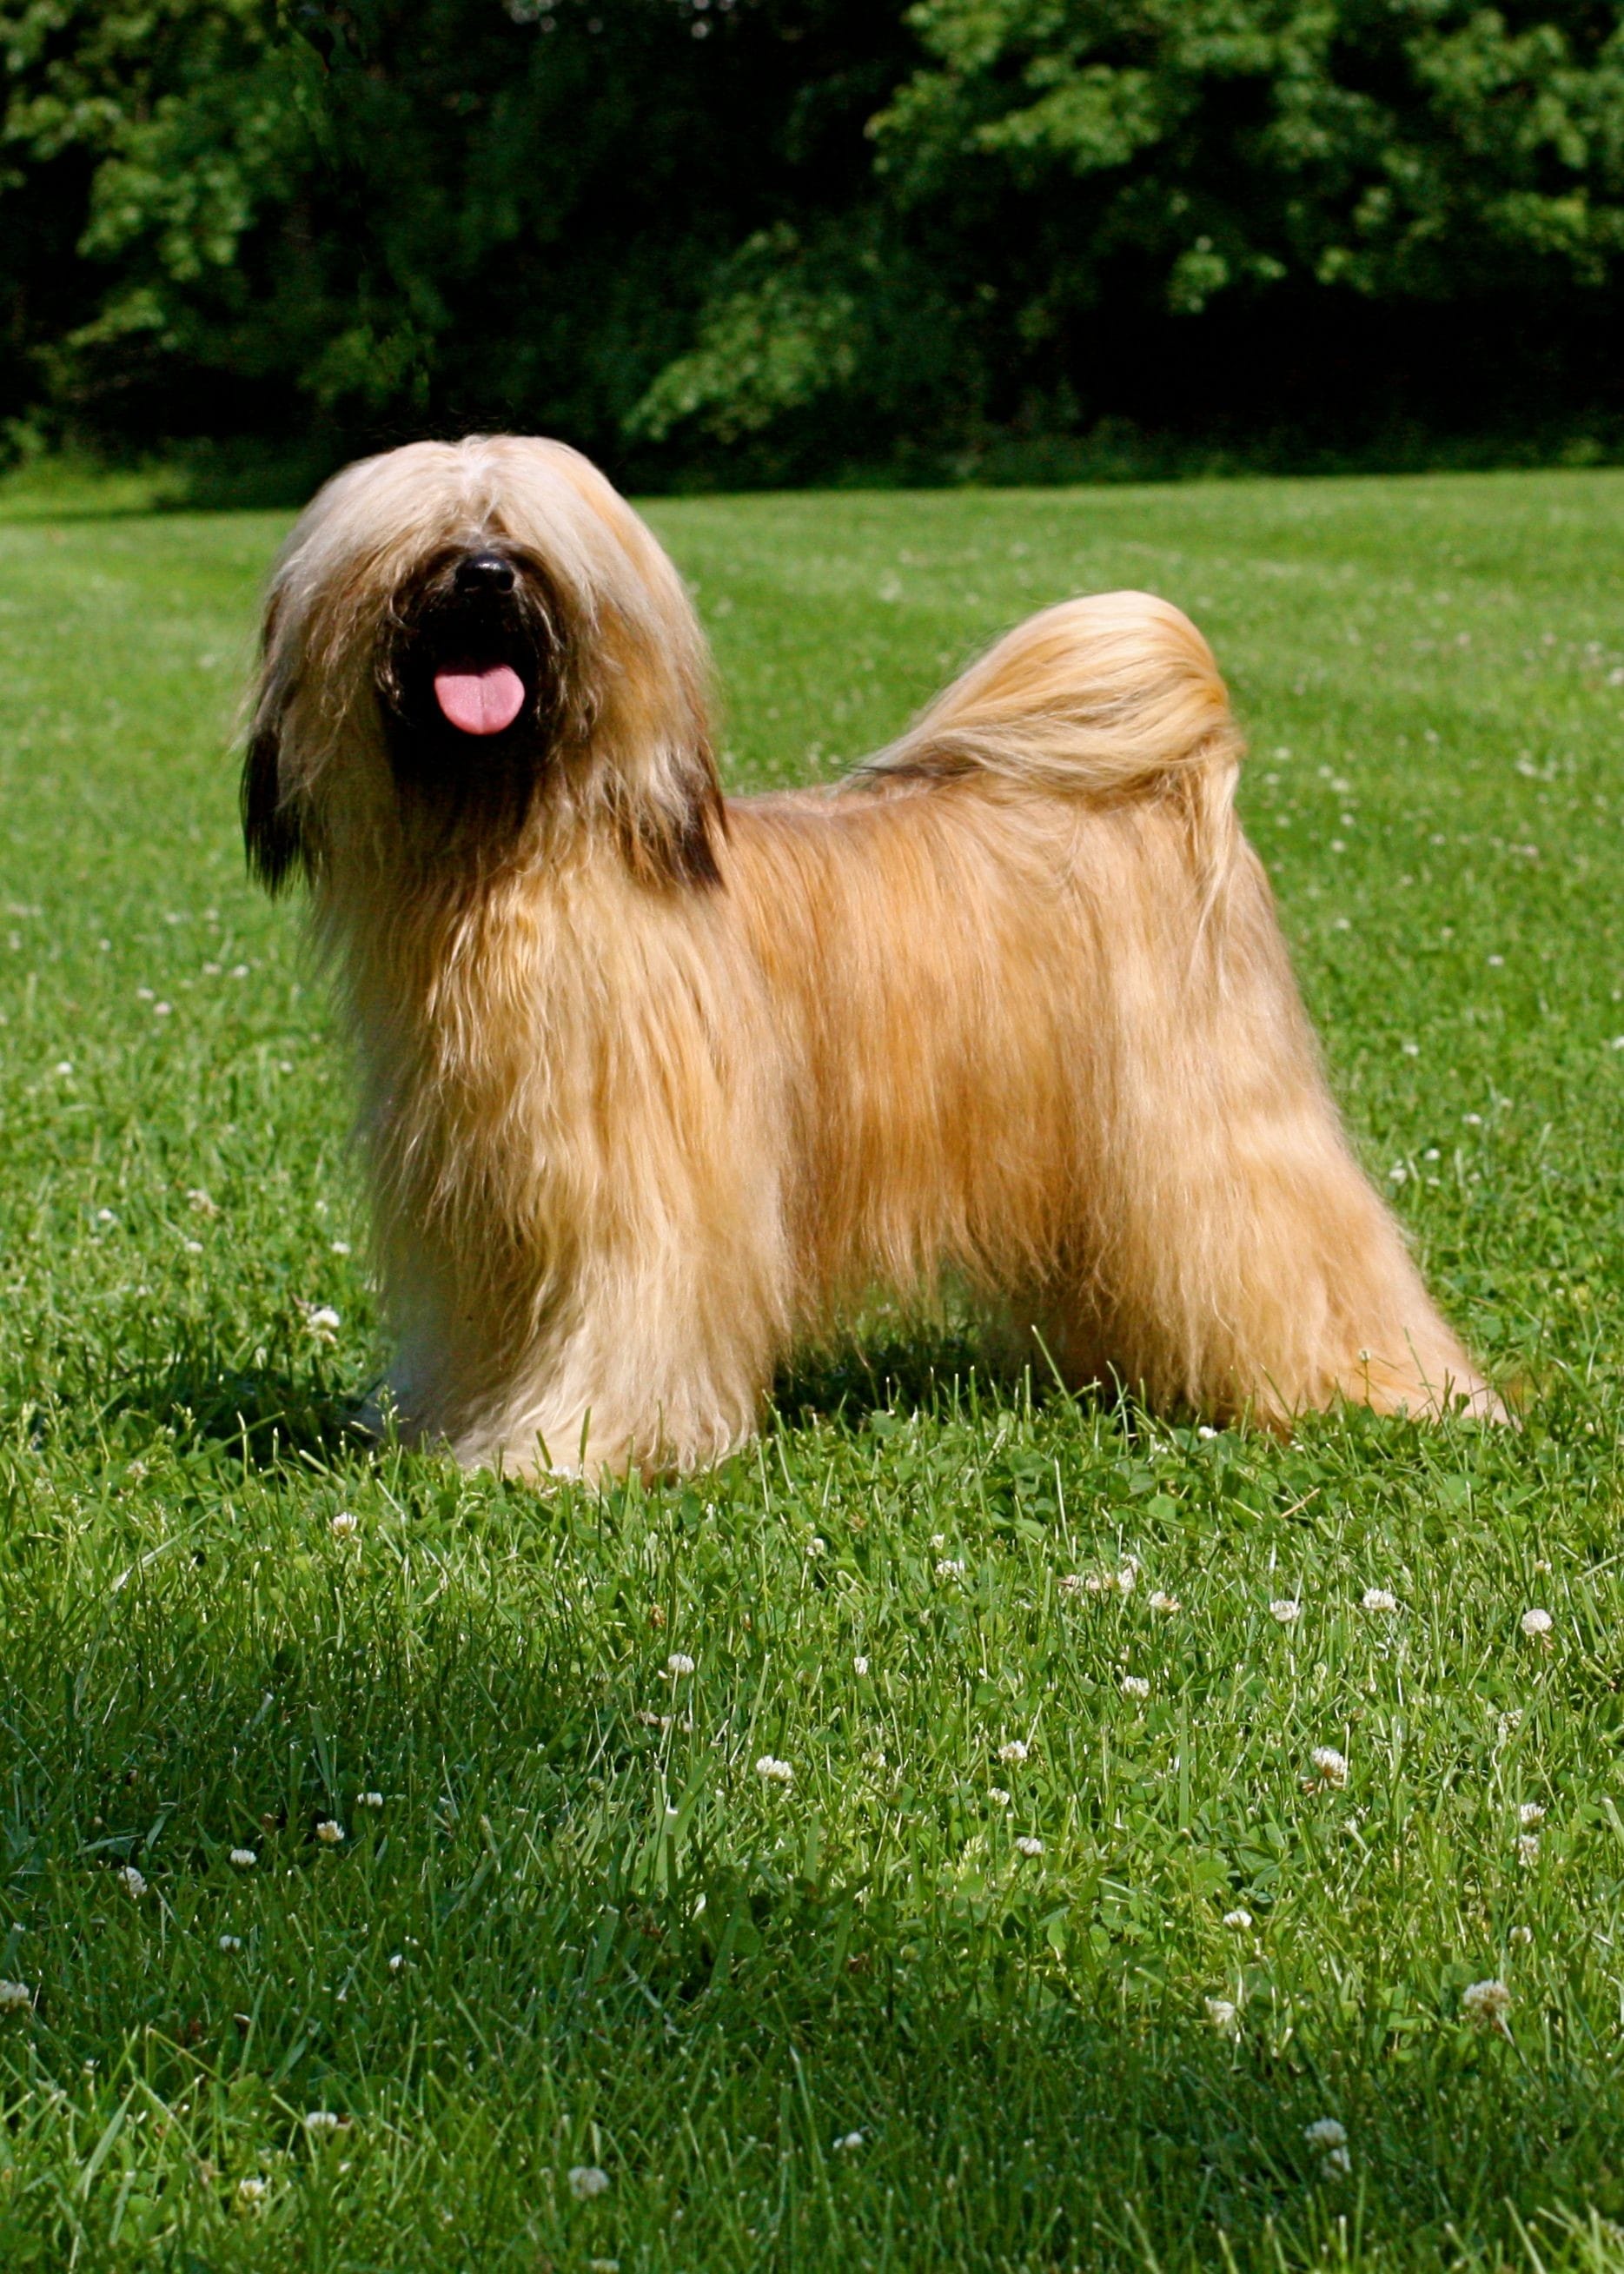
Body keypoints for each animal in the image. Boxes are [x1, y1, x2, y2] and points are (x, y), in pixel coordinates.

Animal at [247, 434, 1501, 1482]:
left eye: (527, 546)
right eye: (430, 543)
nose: (484, 576)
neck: (524, 867)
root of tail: (1169, 782)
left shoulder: (644, 1205)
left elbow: (625, 1325)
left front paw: (562, 1451)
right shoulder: (482, 1217)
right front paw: (456, 1430)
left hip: (1211, 1121)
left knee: (1302, 1236)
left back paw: (1394, 1386)